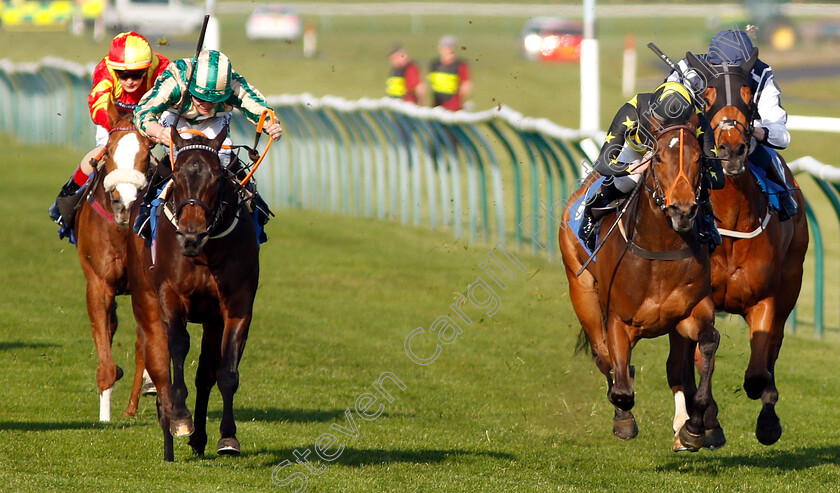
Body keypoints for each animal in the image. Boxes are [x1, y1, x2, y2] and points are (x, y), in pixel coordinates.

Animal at [74, 105, 153, 420]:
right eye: (108, 151)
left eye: (147, 153)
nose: (124, 204)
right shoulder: (98, 284)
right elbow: (105, 346)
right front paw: (104, 418)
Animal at [126, 125, 260, 460]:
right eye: (177, 175)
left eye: (217, 177)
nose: (190, 237)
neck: (205, 253)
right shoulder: (170, 296)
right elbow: (178, 346)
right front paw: (180, 417)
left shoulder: (236, 303)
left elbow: (225, 371)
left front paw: (228, 437)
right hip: (146, 304)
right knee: (159, 366)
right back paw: (169, 435)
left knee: (205, 374)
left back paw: (198, 438)